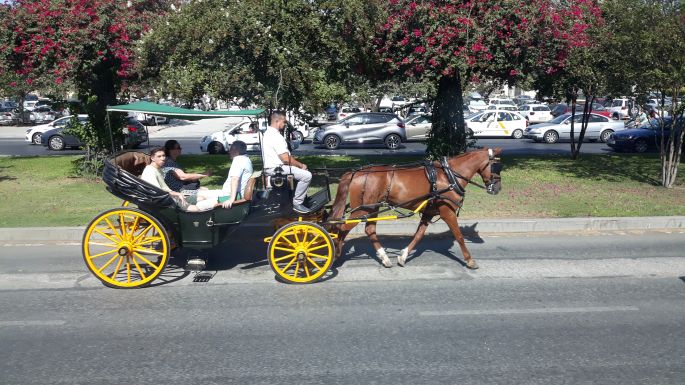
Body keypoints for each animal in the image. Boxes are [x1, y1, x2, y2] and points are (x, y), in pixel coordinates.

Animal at [328, 148, 500, 268]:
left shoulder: (429, 212)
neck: (449, 176)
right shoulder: (447, 211)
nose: (498, 188)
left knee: (369, 230)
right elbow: (459, 236)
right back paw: (335, 253)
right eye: (496, 166)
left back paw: (384, 258)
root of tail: (355, 172)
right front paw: (470, 260)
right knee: (342, 227)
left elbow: (418, 235)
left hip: (372, 208)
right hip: (363, 209)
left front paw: (403, 256)